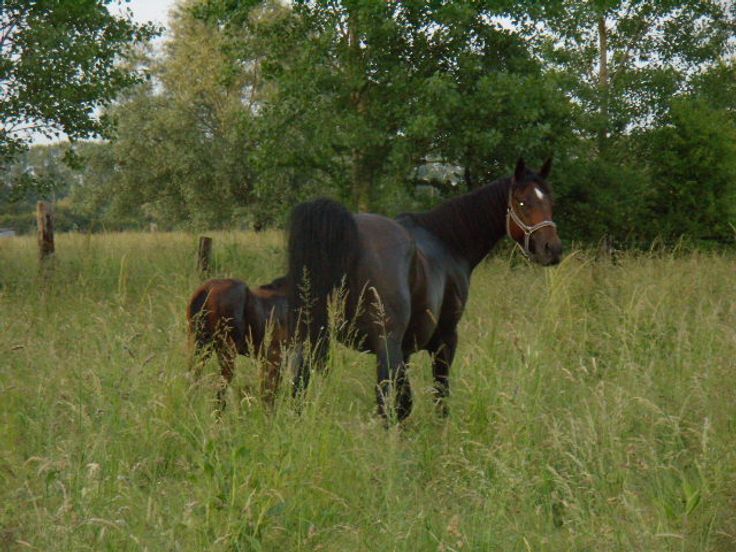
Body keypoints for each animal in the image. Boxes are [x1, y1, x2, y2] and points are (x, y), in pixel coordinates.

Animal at [186, 276, 288, 408]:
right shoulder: (277, 357)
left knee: (193, 380)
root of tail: (207, 289)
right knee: (219, 393)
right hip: (226, 352)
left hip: (199, 346)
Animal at [286, 158, 562, 421]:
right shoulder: (445, 339)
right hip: (385, 346)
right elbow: (439, 394)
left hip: (311, 339)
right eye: (522, 203)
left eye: (550, 201)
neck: (447, 242)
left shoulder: (405, 350)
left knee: (299, 388)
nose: (553, 249)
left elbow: (405, 399)